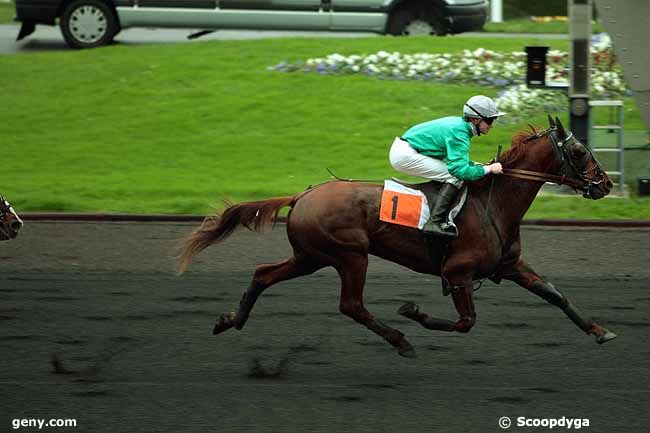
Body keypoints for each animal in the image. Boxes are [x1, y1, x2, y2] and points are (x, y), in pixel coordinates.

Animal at [180, 116, 616, 356]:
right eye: (579, 151)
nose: (607, 184)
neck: (493, 203)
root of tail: (302, 195)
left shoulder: (509, 266)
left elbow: (555, 294)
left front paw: (600, 331)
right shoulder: (458, 273)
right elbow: (466, 322)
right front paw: (413, 312)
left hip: (310, 257)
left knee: (263, 274)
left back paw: (229, 320)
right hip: (350, 255)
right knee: (351, 305)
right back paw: (401, 339)